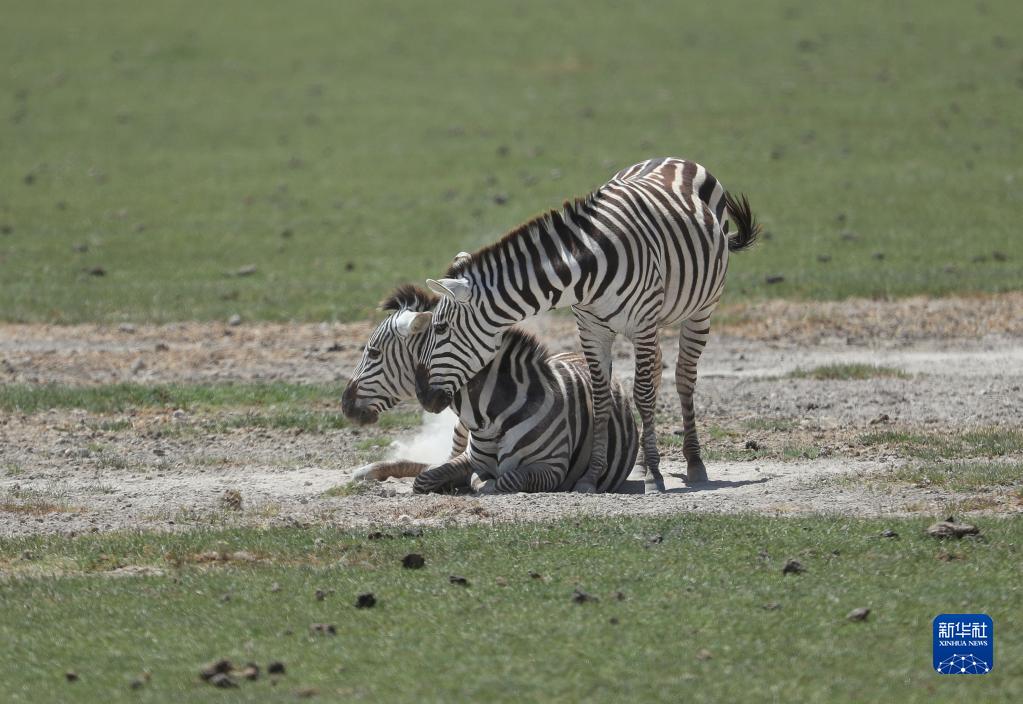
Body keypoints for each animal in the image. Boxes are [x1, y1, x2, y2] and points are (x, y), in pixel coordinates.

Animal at [339, 282, 634, 493]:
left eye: (373, 352)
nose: (344, 403)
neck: (493, 412)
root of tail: (575, 354)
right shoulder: (470, 457)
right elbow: (428, 477)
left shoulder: (553, 467)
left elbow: (505, 480)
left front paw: (477, 483)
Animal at [415, 156, 761, 493]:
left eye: (440, 329)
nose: (423, 397)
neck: (588, 267)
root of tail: (675, 158)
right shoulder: (591, 328)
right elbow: (601, 398)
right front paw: (593, 476)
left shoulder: (642, 325)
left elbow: (643, 394)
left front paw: (654, 478)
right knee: (659, 372)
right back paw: (647, 463)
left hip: (701, 309)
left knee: (684, 378)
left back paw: (693, 462)